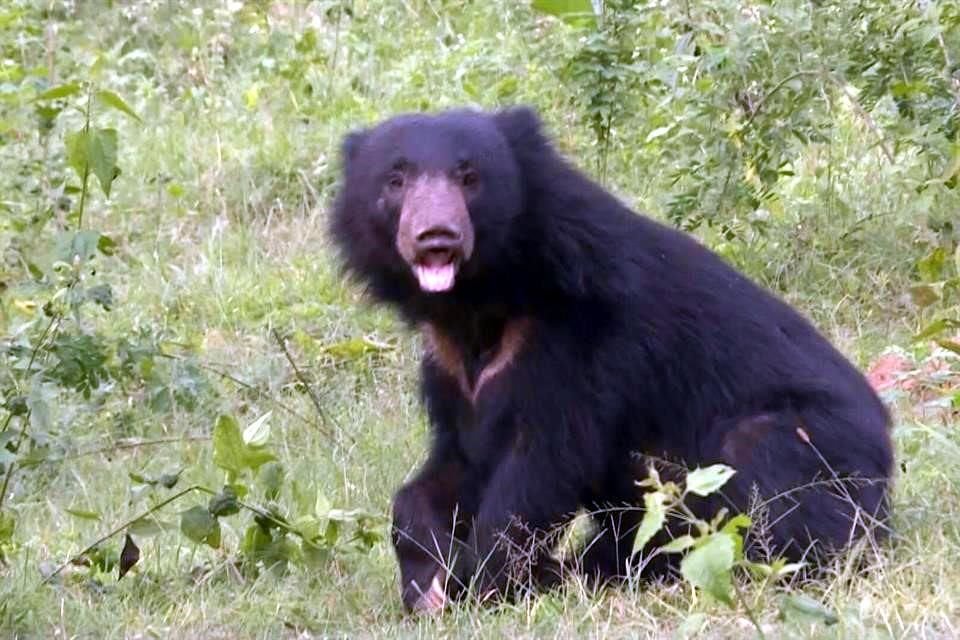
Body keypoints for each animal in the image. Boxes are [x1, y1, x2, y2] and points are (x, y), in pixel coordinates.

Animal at [328, 106, 892, 616]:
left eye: (469, 178)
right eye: (396, 180)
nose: (436, 237)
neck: (480, 303)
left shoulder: (577, 344)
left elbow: (538, 470)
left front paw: (476, 588)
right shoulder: (451, 369)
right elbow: (456, 464)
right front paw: (425, 578)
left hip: (816, 453)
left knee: (769, 478)